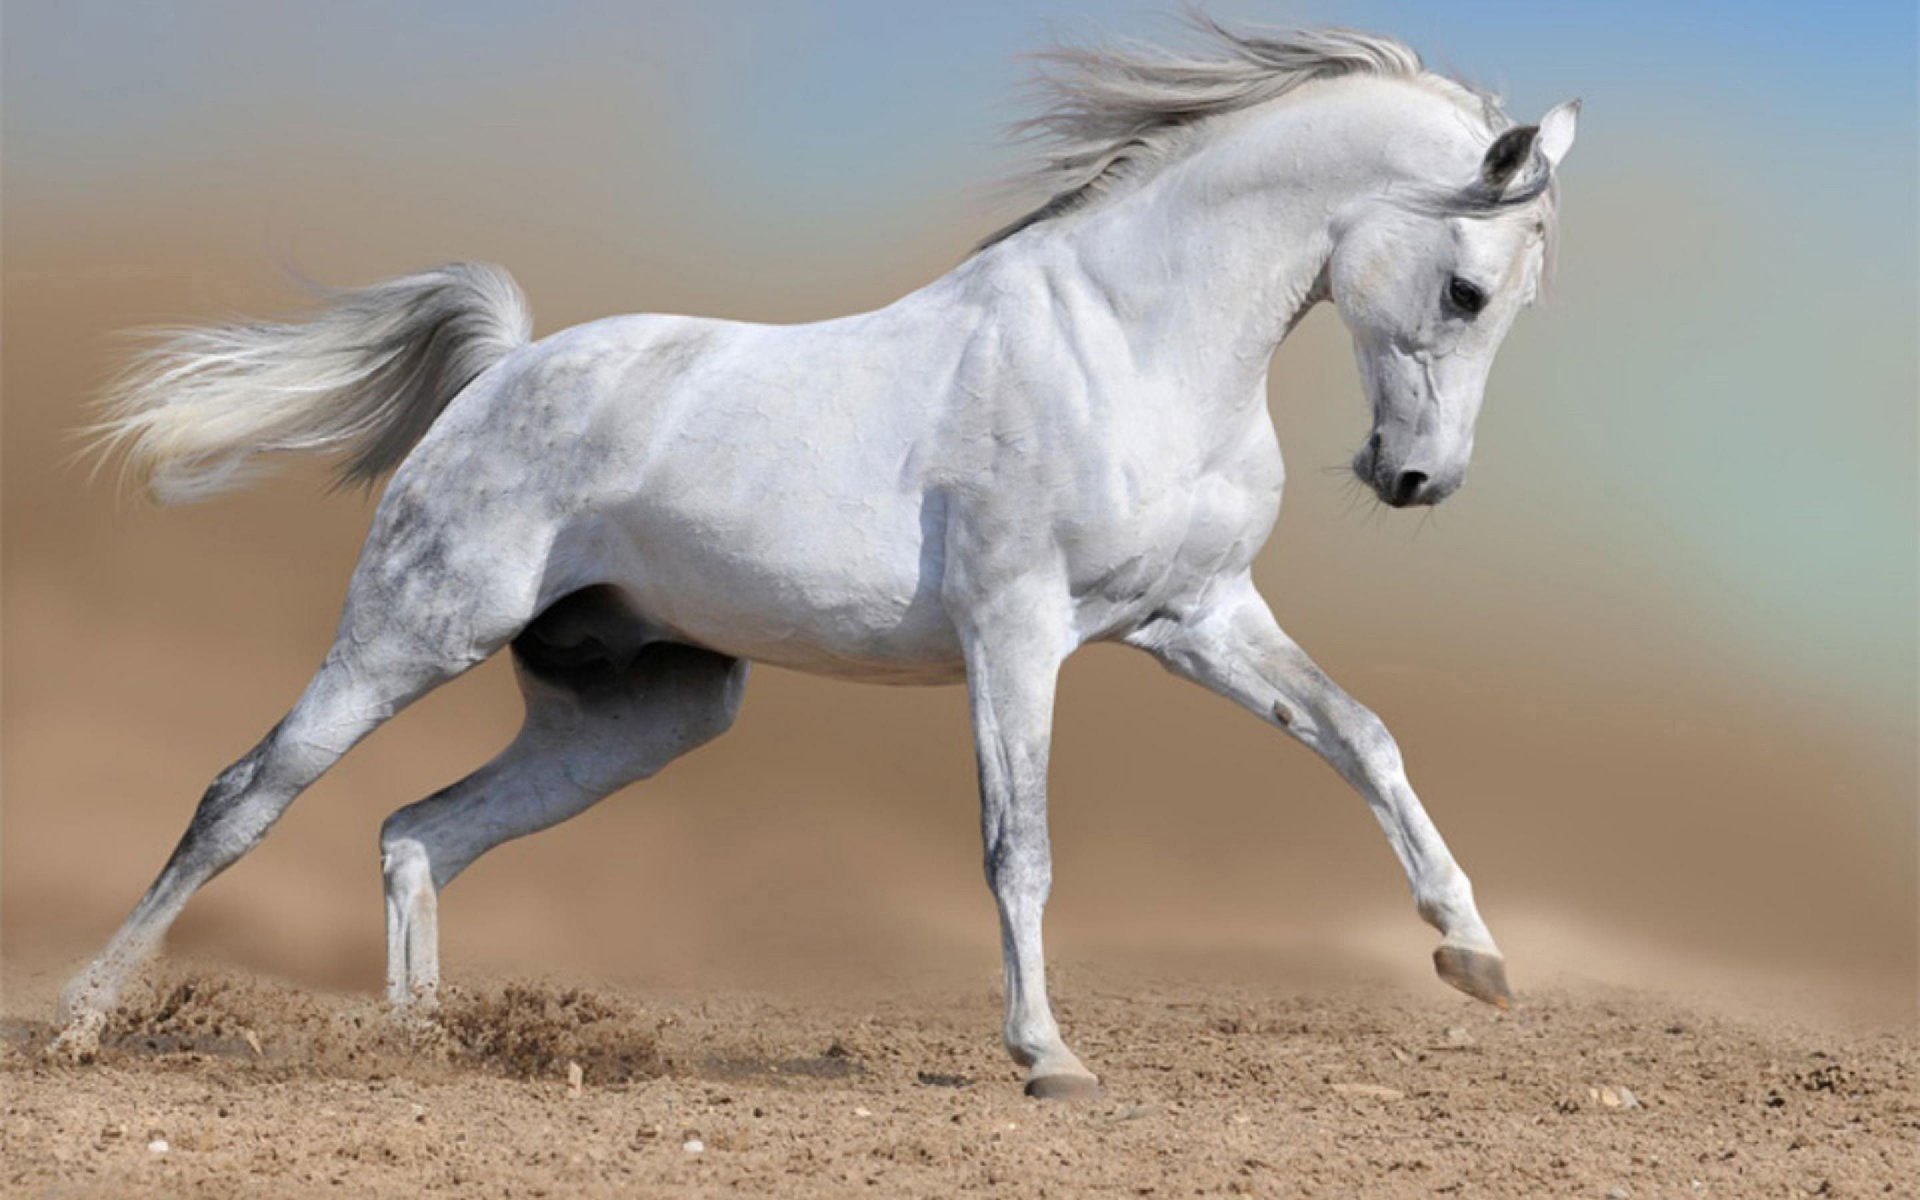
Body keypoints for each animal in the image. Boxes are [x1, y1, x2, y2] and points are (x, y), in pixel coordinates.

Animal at [57, 17, 1578, 1097]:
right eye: (1467, 289)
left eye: (1514, 303)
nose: (1416, 480)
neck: (1131, 340)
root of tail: (502, 372)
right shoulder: (1016, 631)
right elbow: (1018, 845)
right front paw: (1047, 1058)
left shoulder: (1196, 617)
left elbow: (1362, 738)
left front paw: (1476, 957)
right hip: (411, 632)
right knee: (245, 798)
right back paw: (82, 1021)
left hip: (643, 712)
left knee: (419, 832)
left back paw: (424, 1047)